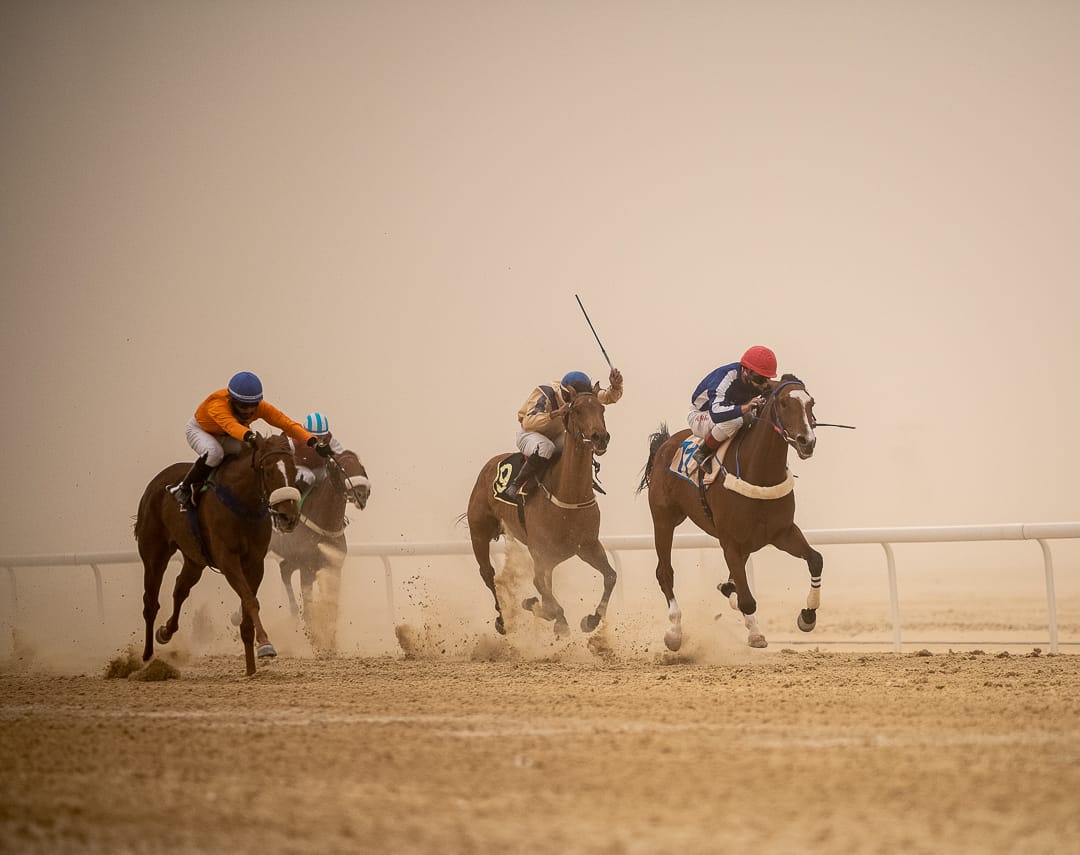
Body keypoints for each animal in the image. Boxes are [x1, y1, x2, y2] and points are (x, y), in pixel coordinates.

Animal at [135, 433, 302, 676]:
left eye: (294, 469)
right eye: (268, 470)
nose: (289, 517)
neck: (242, 503)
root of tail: (155, 484)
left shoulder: (255, 563)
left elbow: (247, 605)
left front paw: (251, 667)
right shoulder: (228, 560)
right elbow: (250, 600)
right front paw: (265, 644)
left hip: (194, 560)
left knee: (180, 589)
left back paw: (165, 632)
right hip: (154, 554)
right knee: (150, 602)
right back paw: (147, 658)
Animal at [269, 449, 371, 652]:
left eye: (360, 465)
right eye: (342, 468)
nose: (362, 494)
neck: (325, 521)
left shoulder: (333, 566)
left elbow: (332, 606)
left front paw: (331, 644)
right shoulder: (306, 569)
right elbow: (309, 609)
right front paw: (317, 642)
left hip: (292, 559)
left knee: (284, 570)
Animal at [466, 386, 617, 637]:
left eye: (602, 408)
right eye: (576, 410)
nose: (600, 437)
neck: (569, 495)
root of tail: (489, 466)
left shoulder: (587, 545)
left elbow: (610, 576)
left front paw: (591, 619)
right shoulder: (540, 551)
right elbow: (541, 586)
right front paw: (557, 619)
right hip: (479, 532)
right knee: (488, 574)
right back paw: (502, 619)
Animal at [637, 374, 822, 650]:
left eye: (811, 403)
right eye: (784, 403)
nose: (806, 442)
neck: (759, 473)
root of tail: (665, 443)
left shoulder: (782, 533)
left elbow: (815, 560)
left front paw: (807, 616)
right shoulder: (730, 542)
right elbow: (747, 600)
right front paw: (753, 629)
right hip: (664, 519)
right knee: (665, 572)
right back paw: (674, 631)